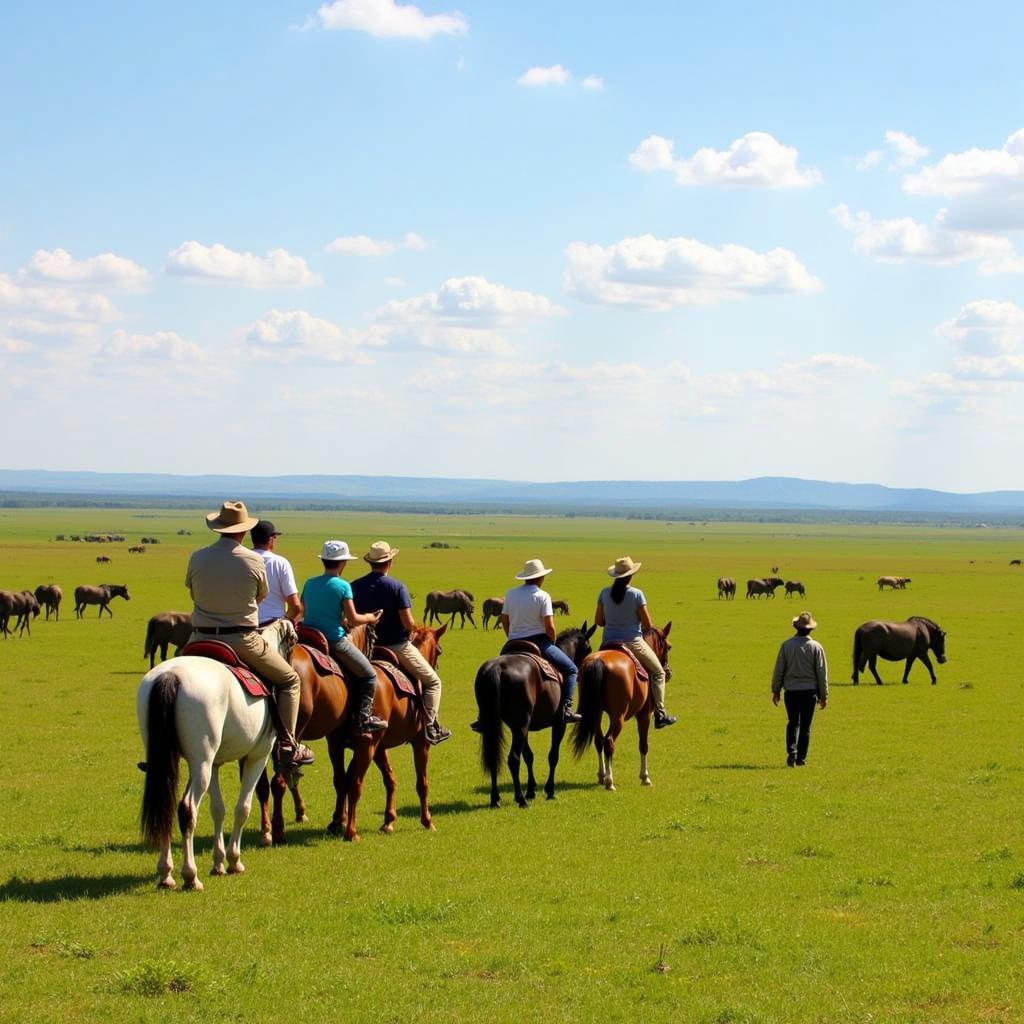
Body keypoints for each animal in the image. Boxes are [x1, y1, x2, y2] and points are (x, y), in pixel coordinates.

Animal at [136, 614, 299, 888]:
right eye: (294, 642)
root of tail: (170, 676)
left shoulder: (214, 763)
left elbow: (218, 809)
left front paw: (218, 862)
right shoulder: (257, 756)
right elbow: (242, 808)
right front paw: (233, 860)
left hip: (173, 762)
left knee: (167, 806)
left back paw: (166, 874)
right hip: (201, 764)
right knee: (187, 809)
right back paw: (190, 875)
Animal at [468, 622, 593, 806]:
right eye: (588, 648)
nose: (581, 673)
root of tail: (497, 668)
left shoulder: (522, 727)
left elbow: (529, 756)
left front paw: (531, 790)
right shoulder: (559, 723)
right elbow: (553, 756)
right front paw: (549, 790)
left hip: (504, 724)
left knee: (494, 757)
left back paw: (495, 798)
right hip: (521, 724)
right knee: (513, 759)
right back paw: (520, 799)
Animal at [569, 618, 671, 786]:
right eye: (669, 647)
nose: (668, 672)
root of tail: (598, 662)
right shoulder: (645, 714)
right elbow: (643, 745)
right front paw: (645, 777)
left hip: (596, 713)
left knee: (599, 740)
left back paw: (602, 775)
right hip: (618, 717)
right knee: (609, 741)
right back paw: (610, 781)